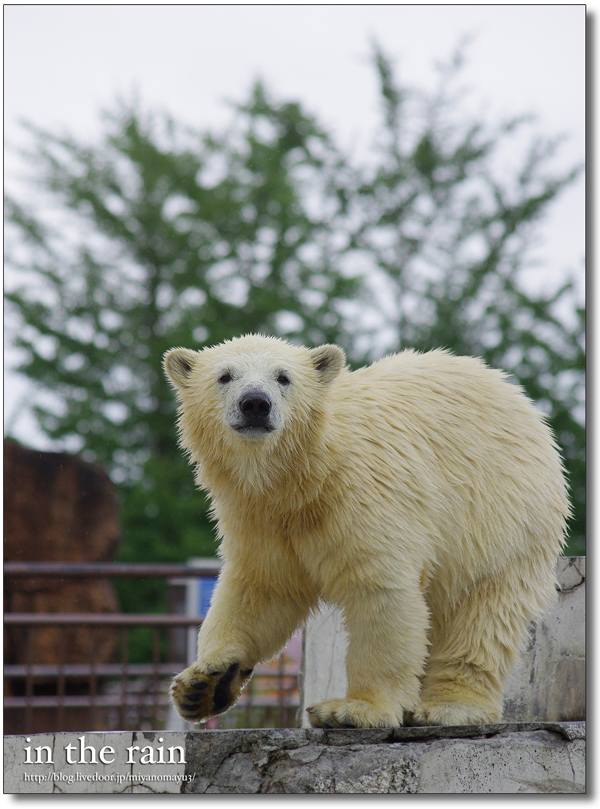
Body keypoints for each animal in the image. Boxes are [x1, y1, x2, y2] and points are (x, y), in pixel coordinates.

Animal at [163, 334, 568, 724]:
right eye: (224, 376)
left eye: (283, 377)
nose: (255, 404)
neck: (304, 478)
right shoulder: (258, 519)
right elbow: (260, 590)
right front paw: (202, 685)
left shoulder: (365, 496)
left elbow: (379, 591)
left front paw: (355, 709)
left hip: (500, 519)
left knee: (482, 612)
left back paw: (450, 707)